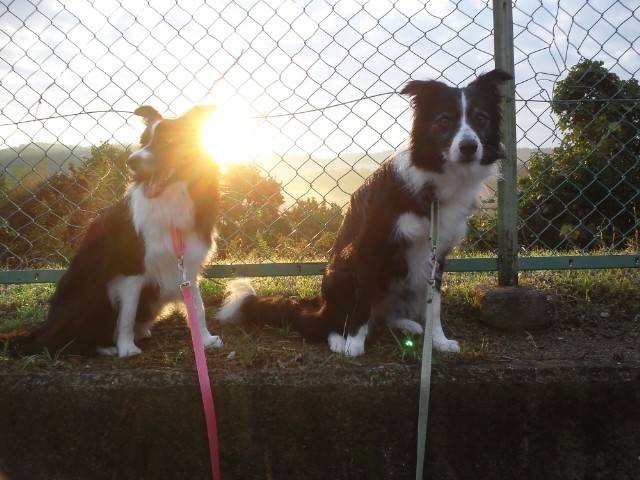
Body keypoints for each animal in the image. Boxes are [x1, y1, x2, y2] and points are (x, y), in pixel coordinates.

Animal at [13, 105, 223, 357]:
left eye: (169, 140)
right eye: (143, 141)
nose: (131, 162)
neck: (171, 200)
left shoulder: (186, 267)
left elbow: (198, 308)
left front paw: (206, 339)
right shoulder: (132, 271)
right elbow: (127, 316)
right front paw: (126, 347)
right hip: (91, 290)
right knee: (62, 342)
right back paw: (105, 346)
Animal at [217, 69, 513, 357]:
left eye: (481, 118)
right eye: (444, 119)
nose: (469, 147)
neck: (433, 185)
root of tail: (320, 305)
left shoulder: (437, 255)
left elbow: (435, 306)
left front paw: (439, 342)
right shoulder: (370, 246)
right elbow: (362, 301)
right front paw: (353, 345)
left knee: (386, 316)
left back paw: (407, 325)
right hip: (341, 274)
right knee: (330, 322)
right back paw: (339, 339)